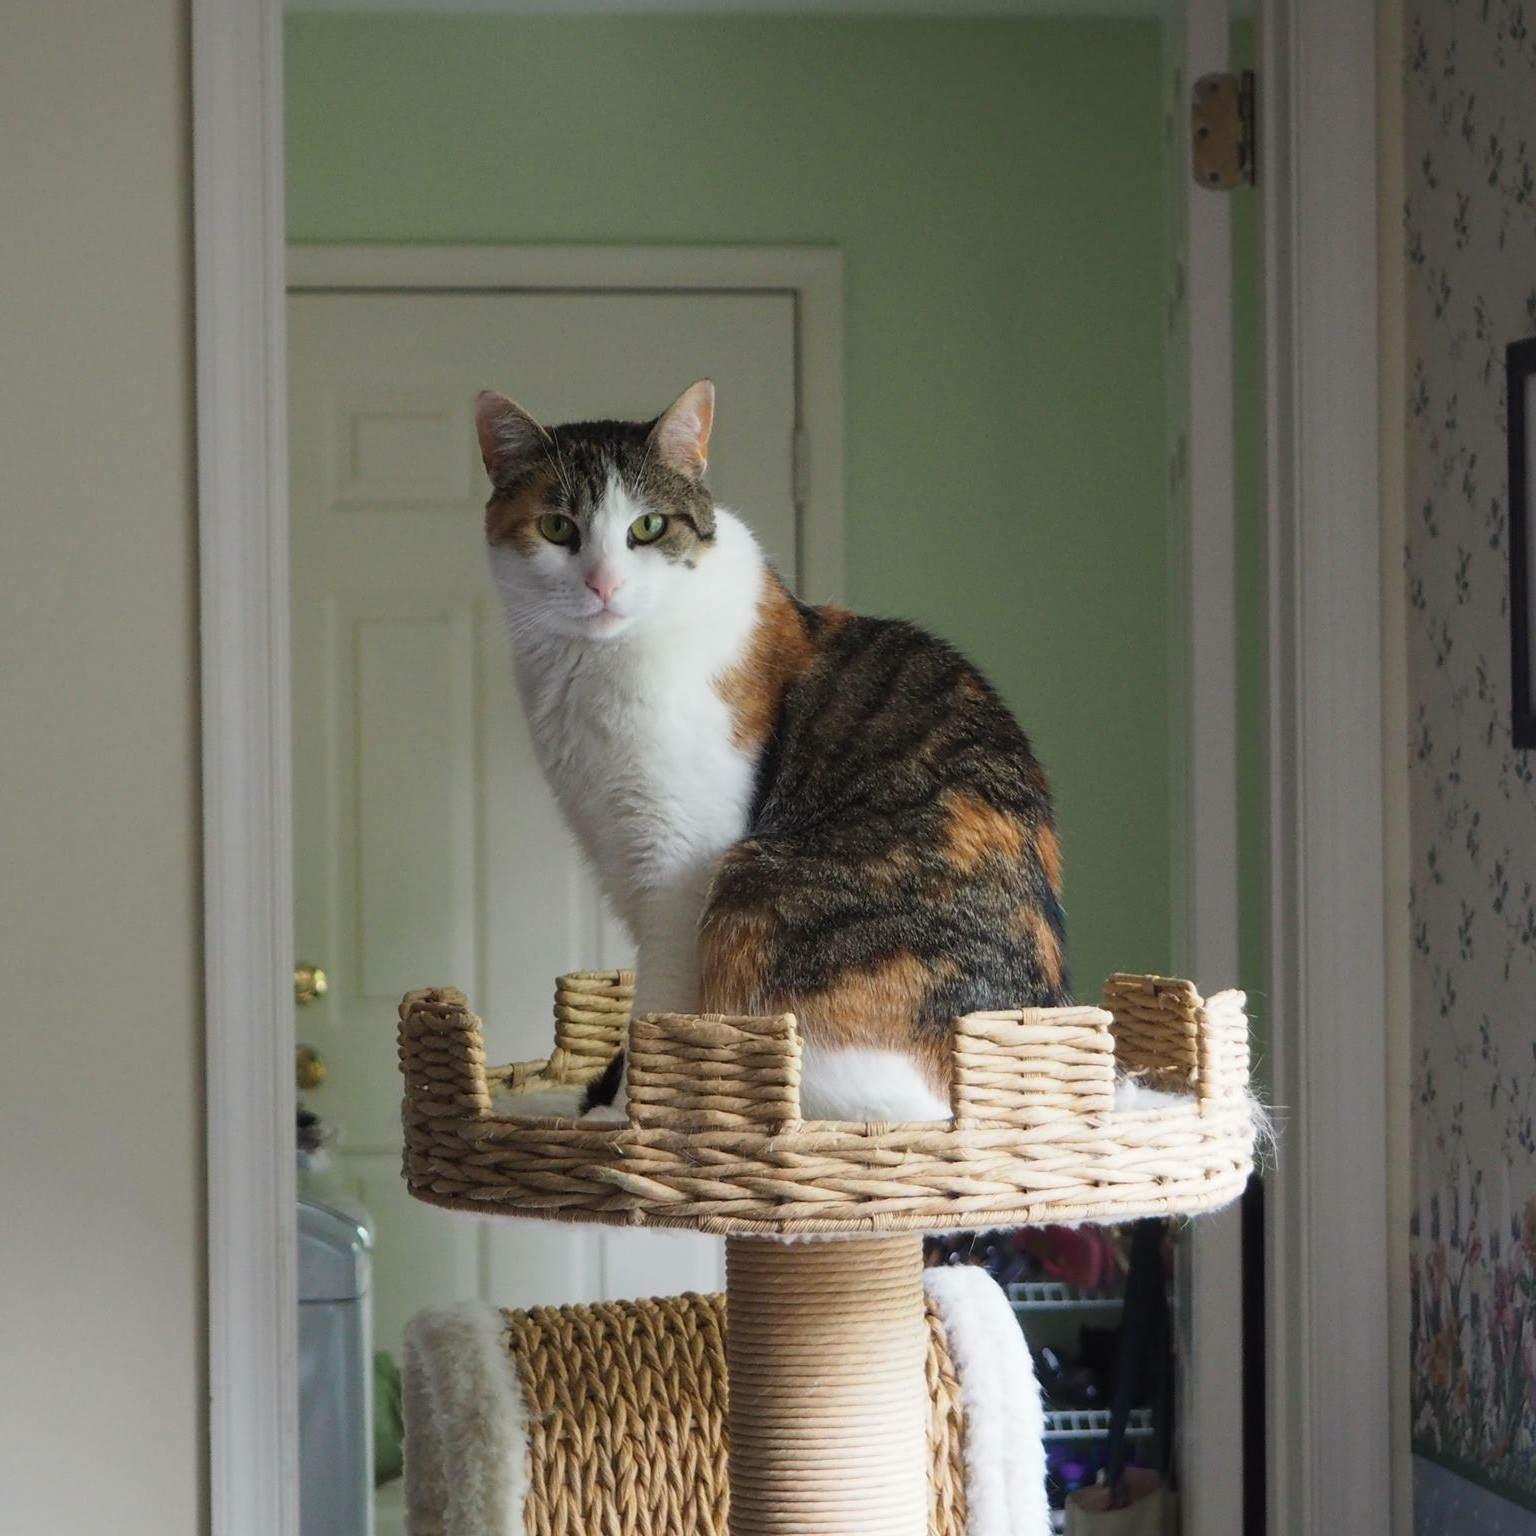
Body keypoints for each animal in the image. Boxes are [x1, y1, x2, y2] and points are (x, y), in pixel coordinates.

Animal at [479, 377, 1069, 1124]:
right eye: (558, 528)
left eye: (648, 528)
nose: (603, 584)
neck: (595, 668)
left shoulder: (678, 876)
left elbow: (656, 1011)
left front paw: (620, 1123)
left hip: (752, 886)